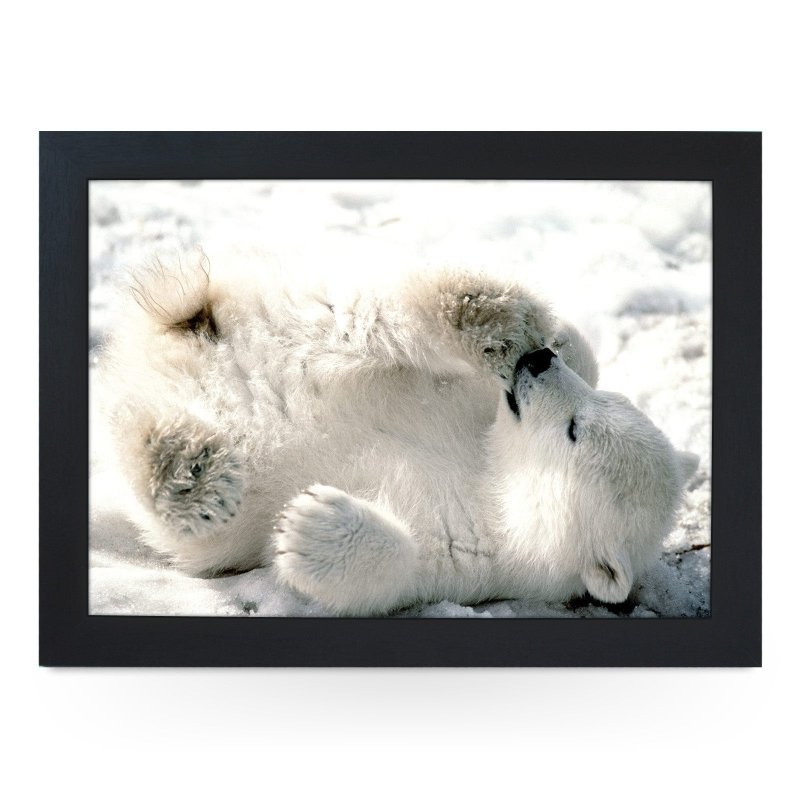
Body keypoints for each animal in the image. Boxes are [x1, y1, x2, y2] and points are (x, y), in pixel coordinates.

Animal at [96, 248, 698, 615]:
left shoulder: (480, 556)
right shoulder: (473, 405)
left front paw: (309, 525)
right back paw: (489, 315)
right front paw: (554, 338)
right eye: (604, 403)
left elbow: (395, 570)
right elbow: (575, 357)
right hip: (301, 325)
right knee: (372, 322)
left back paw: (189, 473)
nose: (537, 363)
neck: (492, 472)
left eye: (575, 430)